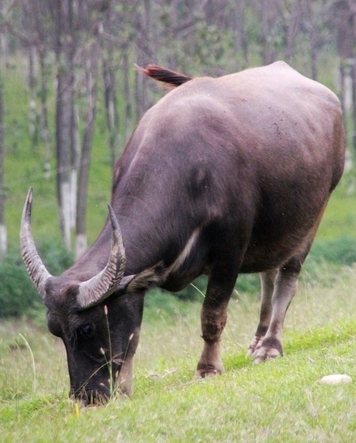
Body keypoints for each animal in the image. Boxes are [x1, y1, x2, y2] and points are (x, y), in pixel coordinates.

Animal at [20, 61, 344, 406]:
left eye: (87, 328)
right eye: (54, 329)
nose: (86, 397)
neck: (188, 170)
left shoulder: (229, 252)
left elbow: (212, 315)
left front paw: (208, 368)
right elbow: (133, 335)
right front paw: (125, 387)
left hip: (312, 215)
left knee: (287, 278)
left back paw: (270, 346)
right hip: (274, 227)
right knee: (268, 274)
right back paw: (258, 340)